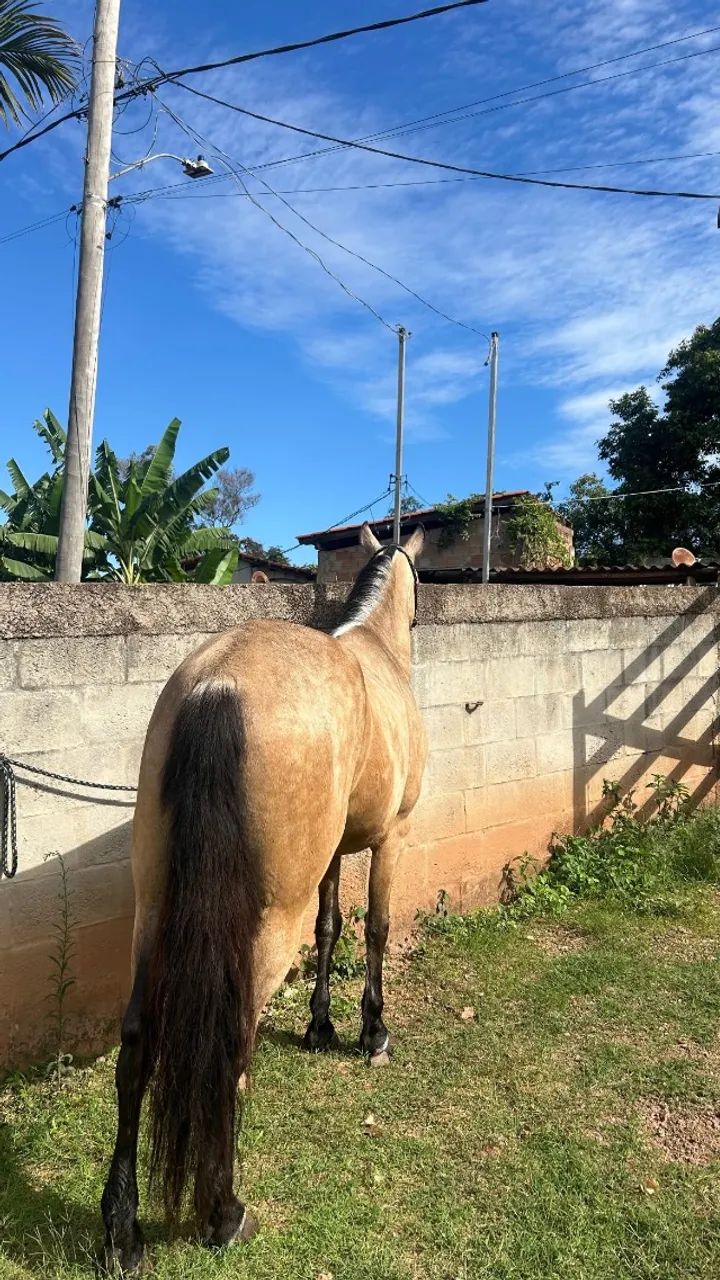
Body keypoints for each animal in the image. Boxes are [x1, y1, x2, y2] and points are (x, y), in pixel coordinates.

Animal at [100, 522, 427, 1274]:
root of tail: (219, 683)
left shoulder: (334, 855)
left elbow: (331, 926)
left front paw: (320, 1026)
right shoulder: (392, 838)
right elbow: (375, 929)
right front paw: (372, 1033)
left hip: (152, 911)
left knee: (137, 1043)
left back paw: (123, 1232)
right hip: (266, 926)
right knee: (232, 1041)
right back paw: (223, 1213)